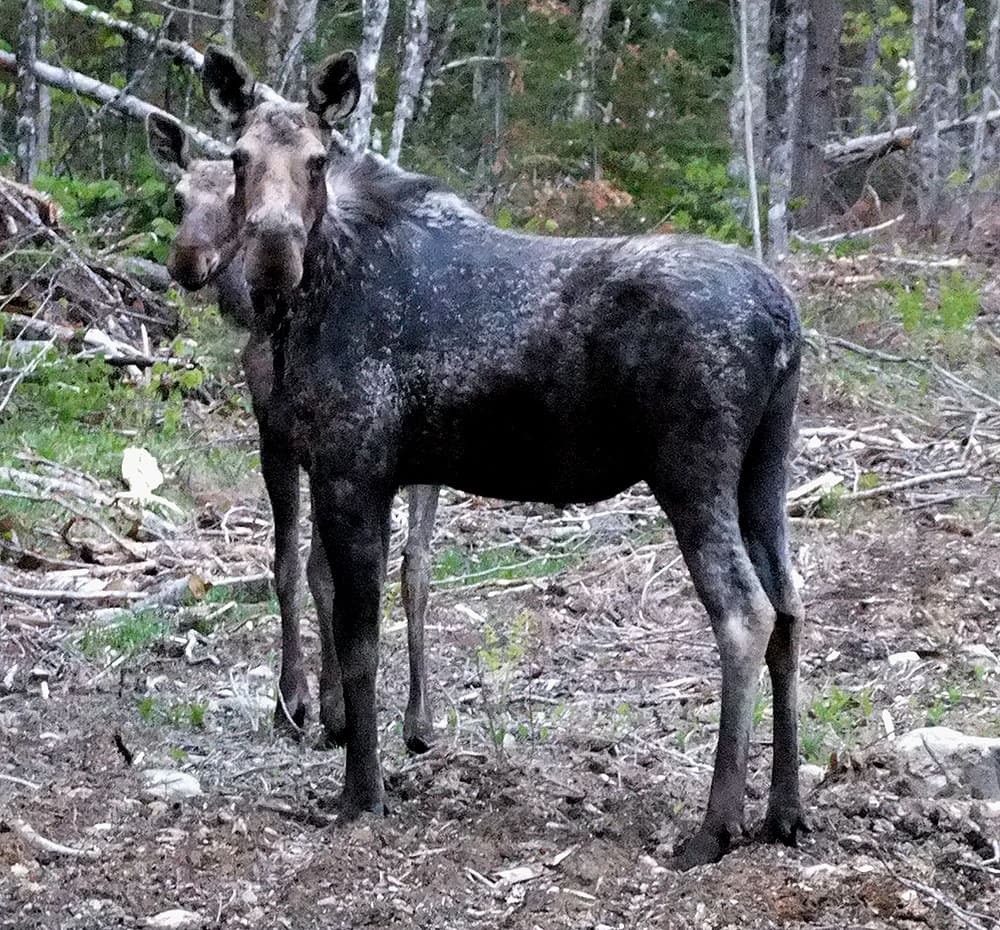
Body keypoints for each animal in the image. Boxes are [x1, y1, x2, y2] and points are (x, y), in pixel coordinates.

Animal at [143, 112, 440, 752]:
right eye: (178, 197)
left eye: (231, 194)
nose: (187, 260)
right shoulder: (287, 442)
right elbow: (303, 568)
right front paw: (318, 703)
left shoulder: (302, 445)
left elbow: (309, 568)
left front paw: (310, 703)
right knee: (406, 563)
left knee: (412, 564)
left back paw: (409, 717)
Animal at [199, 47, 808, 868]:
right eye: (239, 157)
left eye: (318, 161)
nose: (271, 251)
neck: (307, 305)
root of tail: (785, 320)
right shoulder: (349, 469)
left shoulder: (354, 469)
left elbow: (360, 643)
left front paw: (362, 795)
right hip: (764, 471)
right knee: (790, 606)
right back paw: (786, 811)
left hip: (693, 470)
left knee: (745, 613)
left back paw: (714, 828)